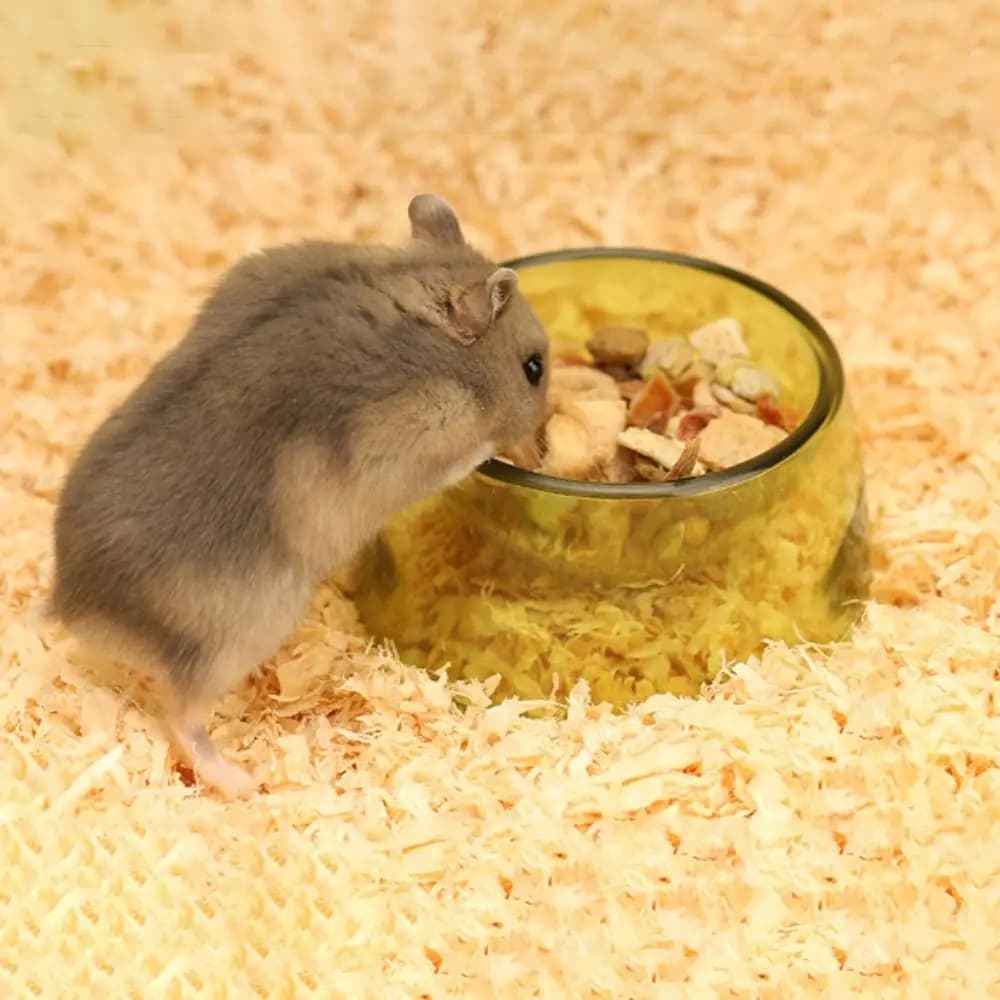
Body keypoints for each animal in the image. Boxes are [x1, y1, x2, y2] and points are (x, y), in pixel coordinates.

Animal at [51, 193, 550, 796]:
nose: (541, 453)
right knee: (183, 719)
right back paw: (246, 781)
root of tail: (75, 607)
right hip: (236, 636)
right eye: (533, 368)